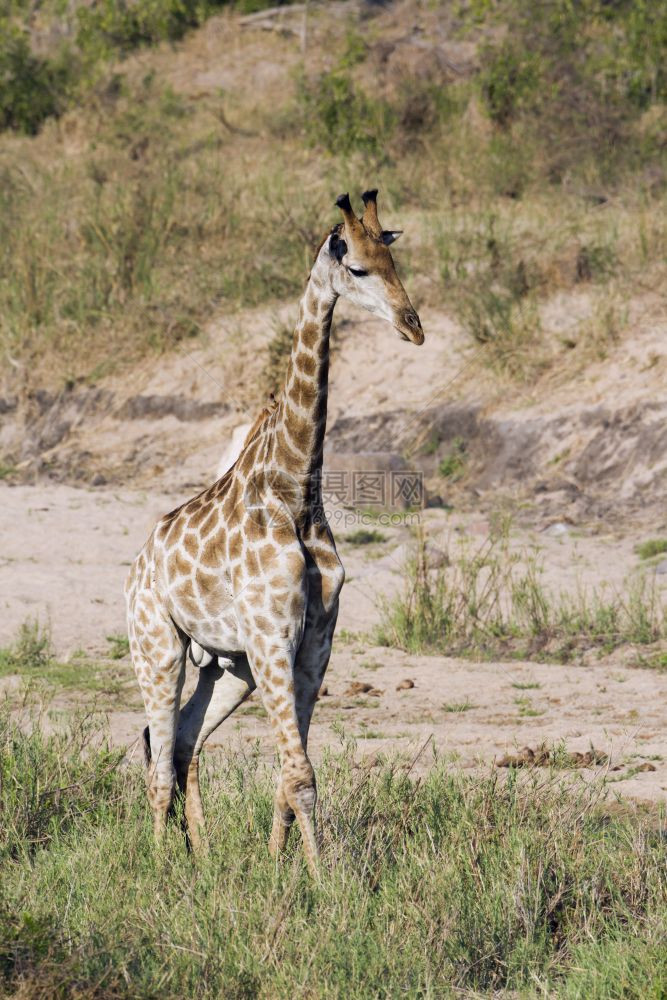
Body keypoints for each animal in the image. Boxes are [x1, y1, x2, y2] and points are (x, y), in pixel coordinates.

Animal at [125, 189, 422, 876]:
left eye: (394, 261)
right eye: (357, 268)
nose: (413, 327)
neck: (295, 493)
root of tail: (139, 564)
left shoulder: (312, 642)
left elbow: (291, 774)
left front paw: (282, 866)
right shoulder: (271, 638)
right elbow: (301, 774)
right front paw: (323, 884)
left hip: (225, 666)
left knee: (182, 741)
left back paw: (200, 856)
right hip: (158, 647)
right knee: (158, 759)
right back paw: (159, 865)